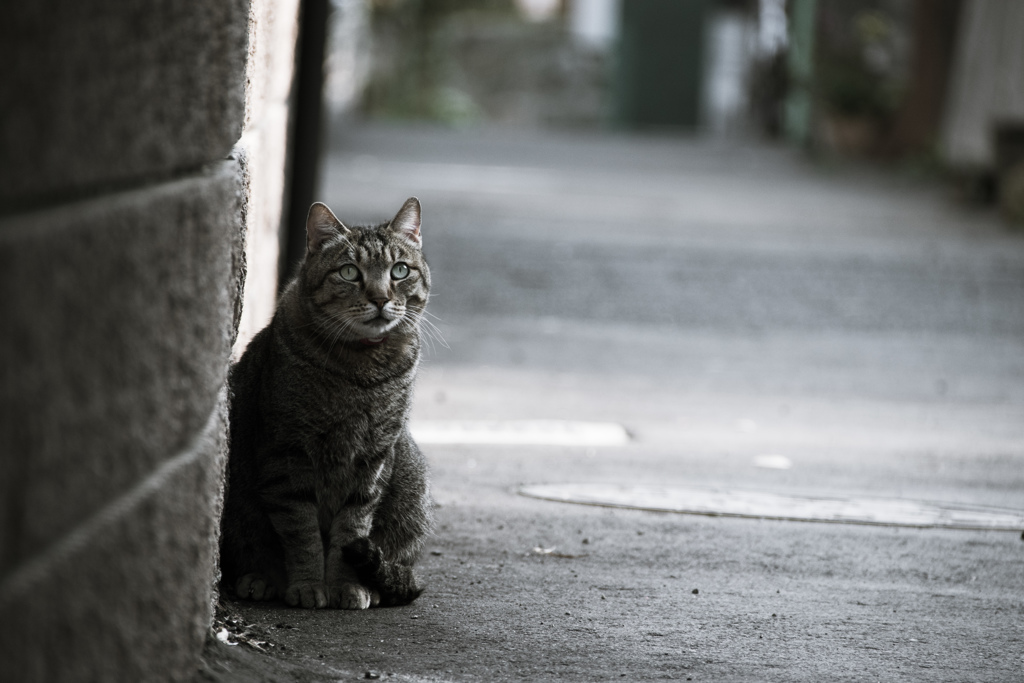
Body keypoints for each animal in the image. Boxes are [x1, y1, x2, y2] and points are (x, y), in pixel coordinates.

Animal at [219, 196, 432, 610]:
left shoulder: (373, 458)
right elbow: (301, 532)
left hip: (410, 479)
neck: (361, 372)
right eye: (349, 272)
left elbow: (352, 528)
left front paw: (346, 586)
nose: (380, 299)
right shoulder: (287, 454)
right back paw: (261, 579)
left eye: (400, 271)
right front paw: (307, 585)